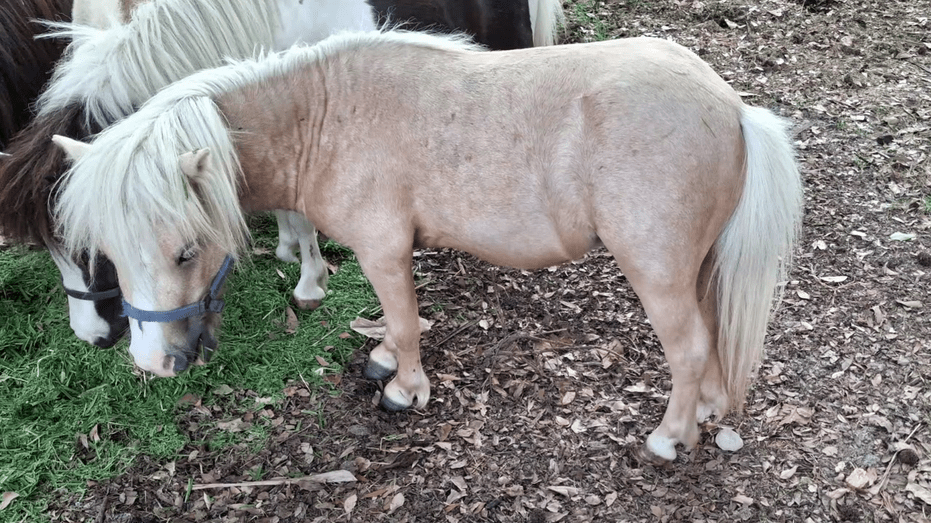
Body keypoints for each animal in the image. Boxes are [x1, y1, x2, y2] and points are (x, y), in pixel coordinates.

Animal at [51, 30, 803, 463]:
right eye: (109, 253)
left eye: (186, 250)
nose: (153, 362)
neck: (326, 116)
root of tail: (732, 108)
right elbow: (397, 317)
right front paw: (383, 355)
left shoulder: (382, 247)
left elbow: (409, 321)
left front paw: (404, 388)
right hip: (696, 266)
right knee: (709, 335)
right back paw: (705, 412)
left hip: (655, 270)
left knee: (688, 348)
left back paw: (671, 436)